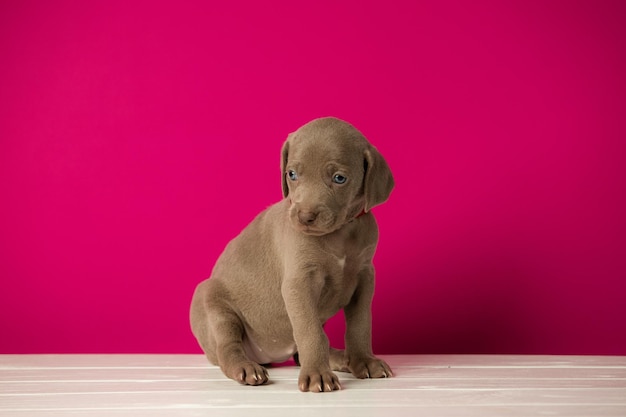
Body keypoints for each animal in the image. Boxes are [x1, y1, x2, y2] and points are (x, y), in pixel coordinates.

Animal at [188, 115, 392, 392]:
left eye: (339, 178)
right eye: (291, 174)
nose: (304, 217)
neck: (340, 233)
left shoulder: (364, 277)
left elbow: (360, 326)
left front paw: (364, 361)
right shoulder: (299, 283)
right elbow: (310, 331)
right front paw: (317, 374)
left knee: (302, 352)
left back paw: (341, 358)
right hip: (212, 301)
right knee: (228, 350)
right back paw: (246, 368)